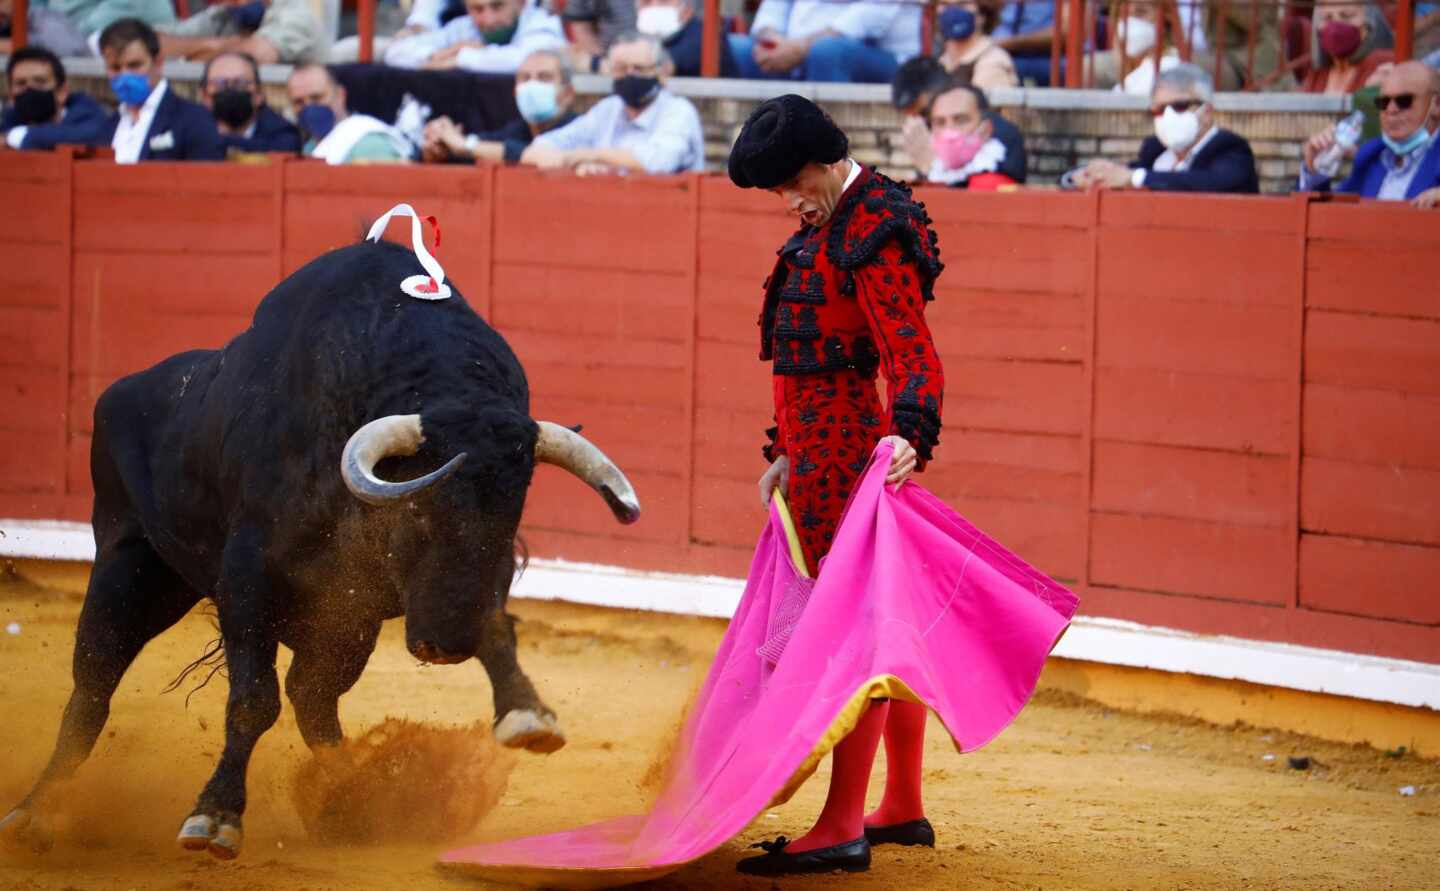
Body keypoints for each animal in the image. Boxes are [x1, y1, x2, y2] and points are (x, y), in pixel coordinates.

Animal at [0, 240, 642, 863]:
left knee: (314, 698)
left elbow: (494, 623)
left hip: (341, 629)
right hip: (127, 569)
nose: (447, 645)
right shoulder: (246, 581)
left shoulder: (394, 596)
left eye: (511, 519)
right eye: (416, 511)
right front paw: (215, 817)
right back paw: (34, 813)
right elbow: (252, 700)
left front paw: (526, 712)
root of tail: (120, 392)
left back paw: (352, 798)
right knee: (92, 690)